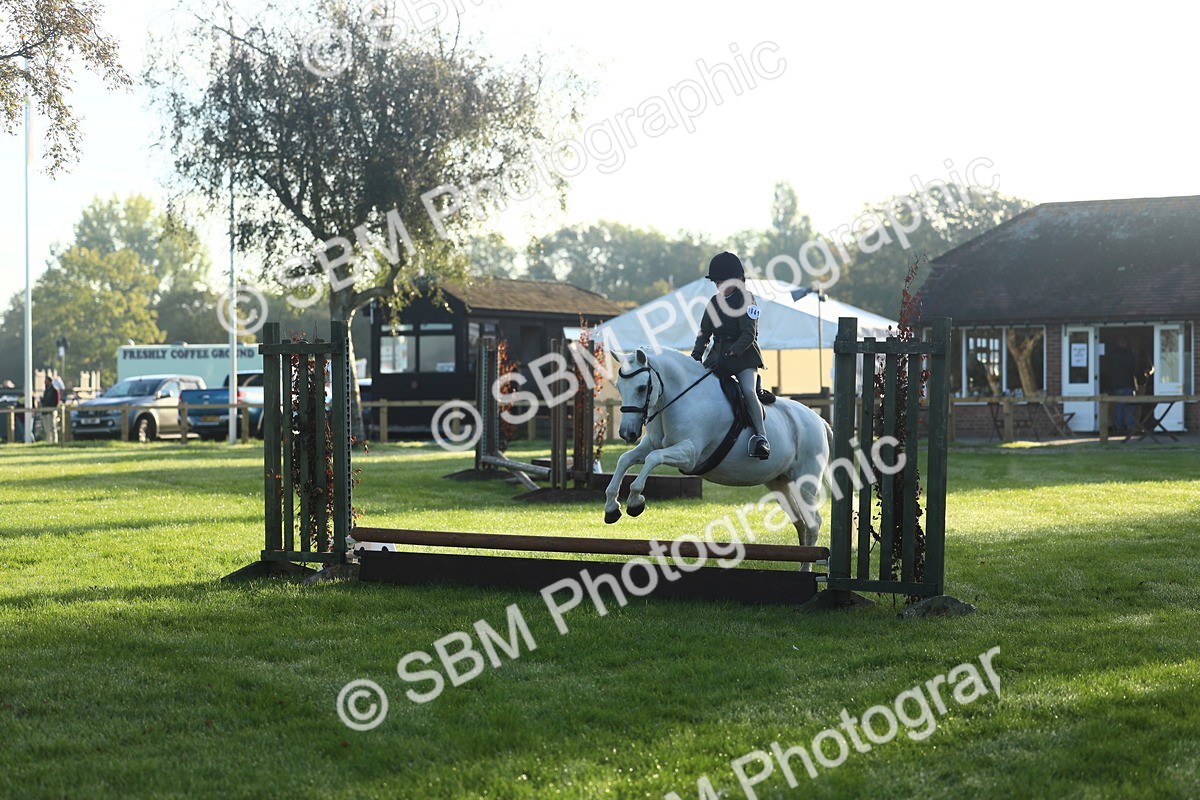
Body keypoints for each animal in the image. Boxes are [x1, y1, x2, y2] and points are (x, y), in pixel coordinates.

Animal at [604, 347, 833, 569]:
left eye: (642, 388)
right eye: (619, 386)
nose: (627, 433)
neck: (680, 397)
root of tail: (818, 420)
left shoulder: (689, 454)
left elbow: (653, 458)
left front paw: (635, 501)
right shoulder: (650, 445)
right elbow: (625, 459)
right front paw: (612, 508)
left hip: (805, 480)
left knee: (813, 523)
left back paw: (807, 569)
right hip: (780, 482)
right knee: (801, 523)